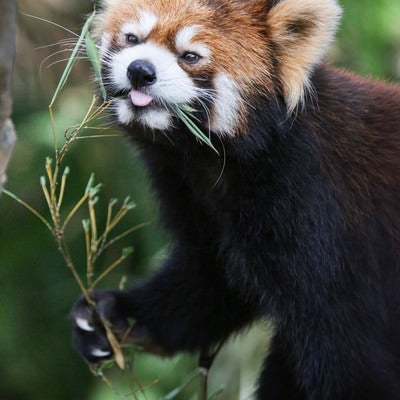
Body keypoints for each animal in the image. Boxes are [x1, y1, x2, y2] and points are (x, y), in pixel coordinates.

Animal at [70, 0, 400, 400]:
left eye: (190, 56)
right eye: (132, 38)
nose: (140, 71)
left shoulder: (319, 212)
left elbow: (350, 350)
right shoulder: (197, 200)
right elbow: (212, 282)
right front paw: (115, 317)